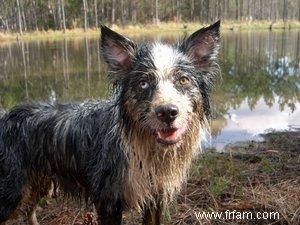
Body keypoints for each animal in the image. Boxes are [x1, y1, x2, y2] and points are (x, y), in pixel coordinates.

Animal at [0, 21, 220, 225]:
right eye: (143, 83)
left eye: (183, 80)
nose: (167, 113)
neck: (139, 145)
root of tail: (5, 117)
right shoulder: (108, 201)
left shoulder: (155, 197)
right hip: (12, 192)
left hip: (38, 183)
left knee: (29, 212)